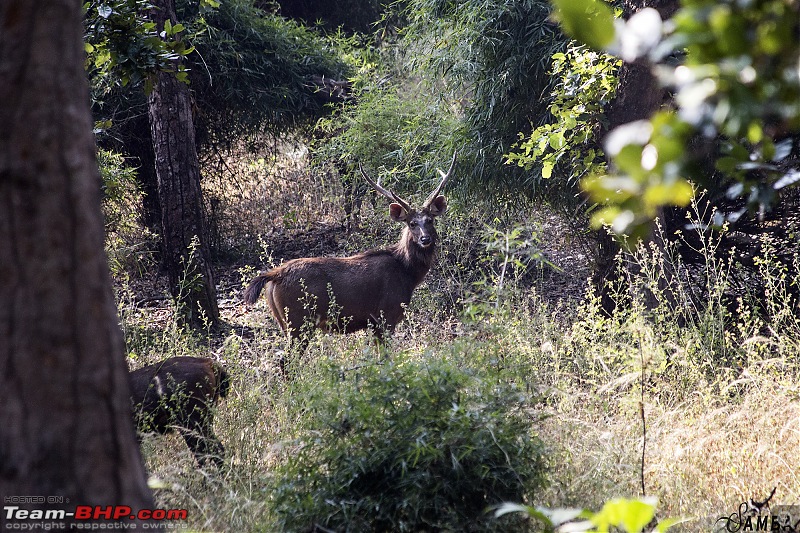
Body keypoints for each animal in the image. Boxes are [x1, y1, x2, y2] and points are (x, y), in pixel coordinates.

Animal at [244, 152, 456, 348]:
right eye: (412, 223)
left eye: (430, 220)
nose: (425, 239)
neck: (407, 273)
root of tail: (275, 275)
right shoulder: (386, 315)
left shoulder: (373, 323)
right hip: (298, 320)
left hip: (284, 322)